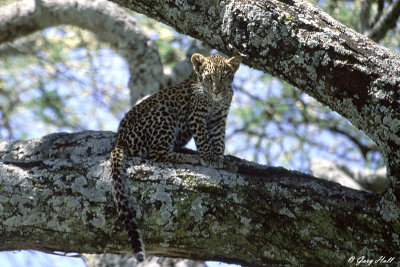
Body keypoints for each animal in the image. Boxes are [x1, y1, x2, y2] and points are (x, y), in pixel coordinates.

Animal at [109, 53, 241, 262]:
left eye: (224, 77)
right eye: (209, 78)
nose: (217, 91)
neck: (215, 102)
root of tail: (119, 141)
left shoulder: (218, 119)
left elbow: (219, 141)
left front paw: (221, 159)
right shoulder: (197, 115)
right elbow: (204, 139)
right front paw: (209, 158)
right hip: (163, 113)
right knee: (157, 153)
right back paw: (190, 157)